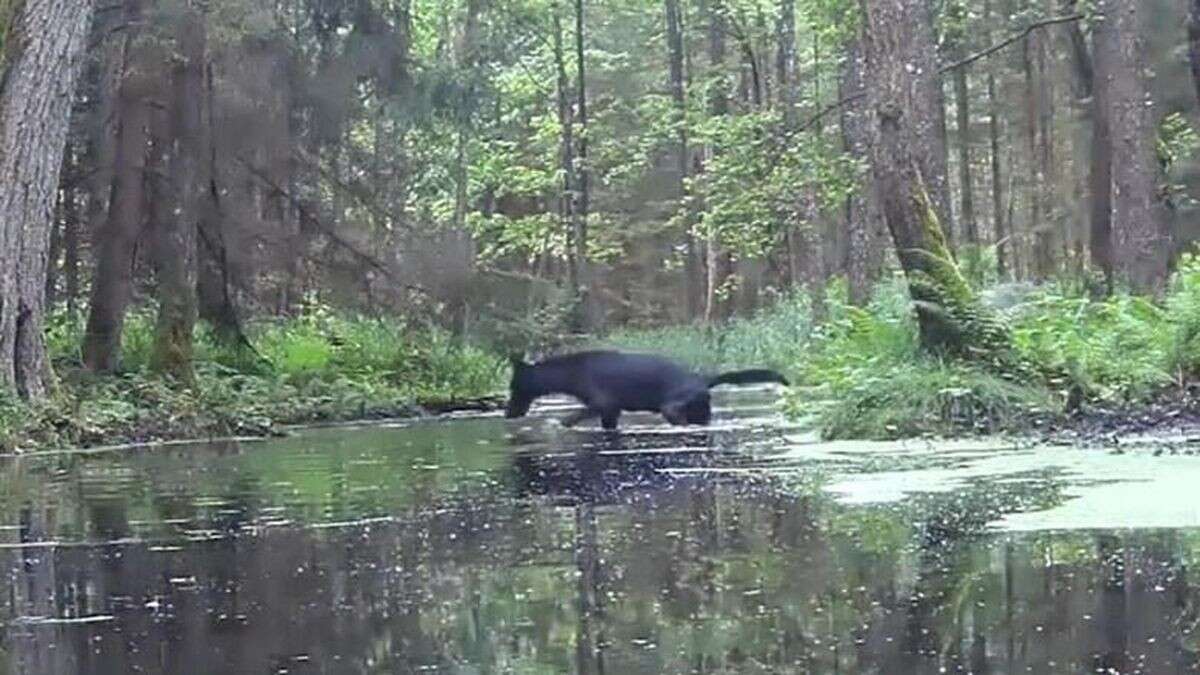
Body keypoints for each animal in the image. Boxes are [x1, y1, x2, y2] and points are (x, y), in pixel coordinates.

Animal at [504, 348, 792, 427]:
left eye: (513, 387)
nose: (507, 413)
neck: (570, 373)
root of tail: (703, 379)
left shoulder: (603, 403)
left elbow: (571, 418)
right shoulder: (611, 412)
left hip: (672, 408)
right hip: (701, 411)